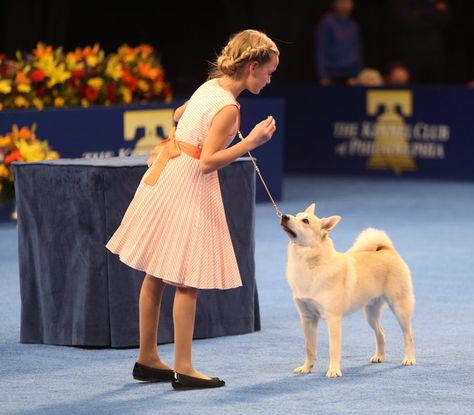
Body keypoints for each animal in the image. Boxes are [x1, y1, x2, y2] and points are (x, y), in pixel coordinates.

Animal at [282, 203, 414, 378]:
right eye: (295, 215)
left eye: (305, 221)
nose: (284, 216)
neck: (311, 265)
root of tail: (387, 250)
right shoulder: (307, 318)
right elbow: (309, 348)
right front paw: (306, 368)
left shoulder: (333, 319)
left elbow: (333, 349)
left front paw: (333, 370)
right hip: (371, 314)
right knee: (380, 332)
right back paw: (379, 356)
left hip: (400, 308)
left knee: (408, 335)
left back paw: (409, 359)